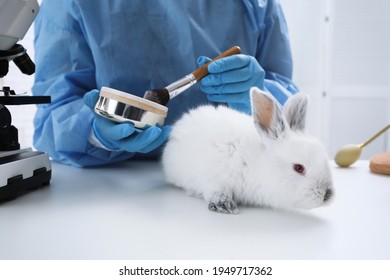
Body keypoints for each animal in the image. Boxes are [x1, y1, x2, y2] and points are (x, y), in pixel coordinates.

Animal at [161, 87, 332, 214]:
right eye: (298, 168)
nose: (327, 195)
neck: (256, 162)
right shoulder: (214, 177)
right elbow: (215, 190)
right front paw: (224, 204)